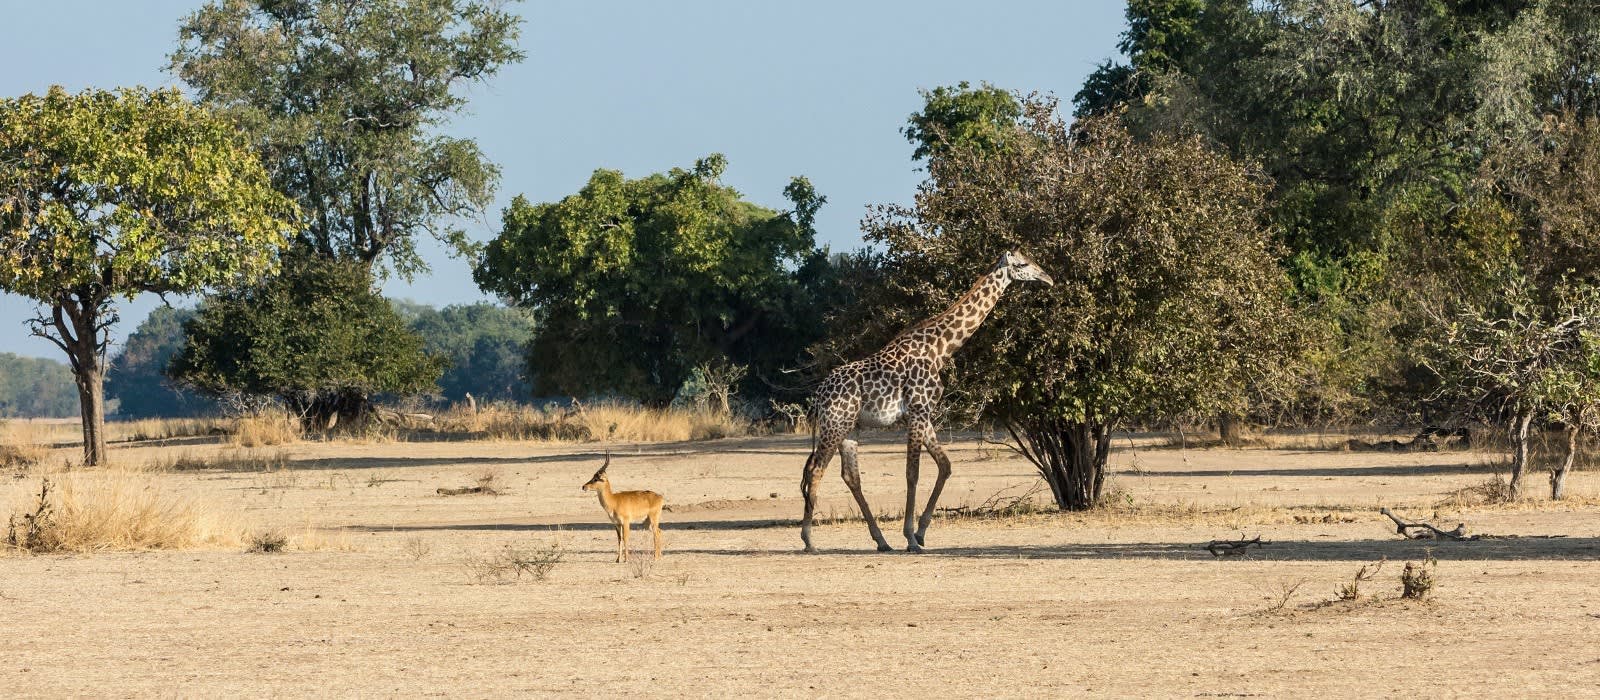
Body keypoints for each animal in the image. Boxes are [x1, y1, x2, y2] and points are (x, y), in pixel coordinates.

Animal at [800, 250, 1054, 553]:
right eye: (1023, 264)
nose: (1048, 278)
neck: (939, 349)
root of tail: (818, 396)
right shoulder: (918, 409)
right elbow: (913, 472)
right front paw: (910, 538)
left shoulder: (923, 413)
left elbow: (945, 466)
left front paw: (920, 532)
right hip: (835, 424)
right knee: (816, 469)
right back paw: (809, 540)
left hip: (850, 429)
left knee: (850, 476)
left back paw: (881, 541)